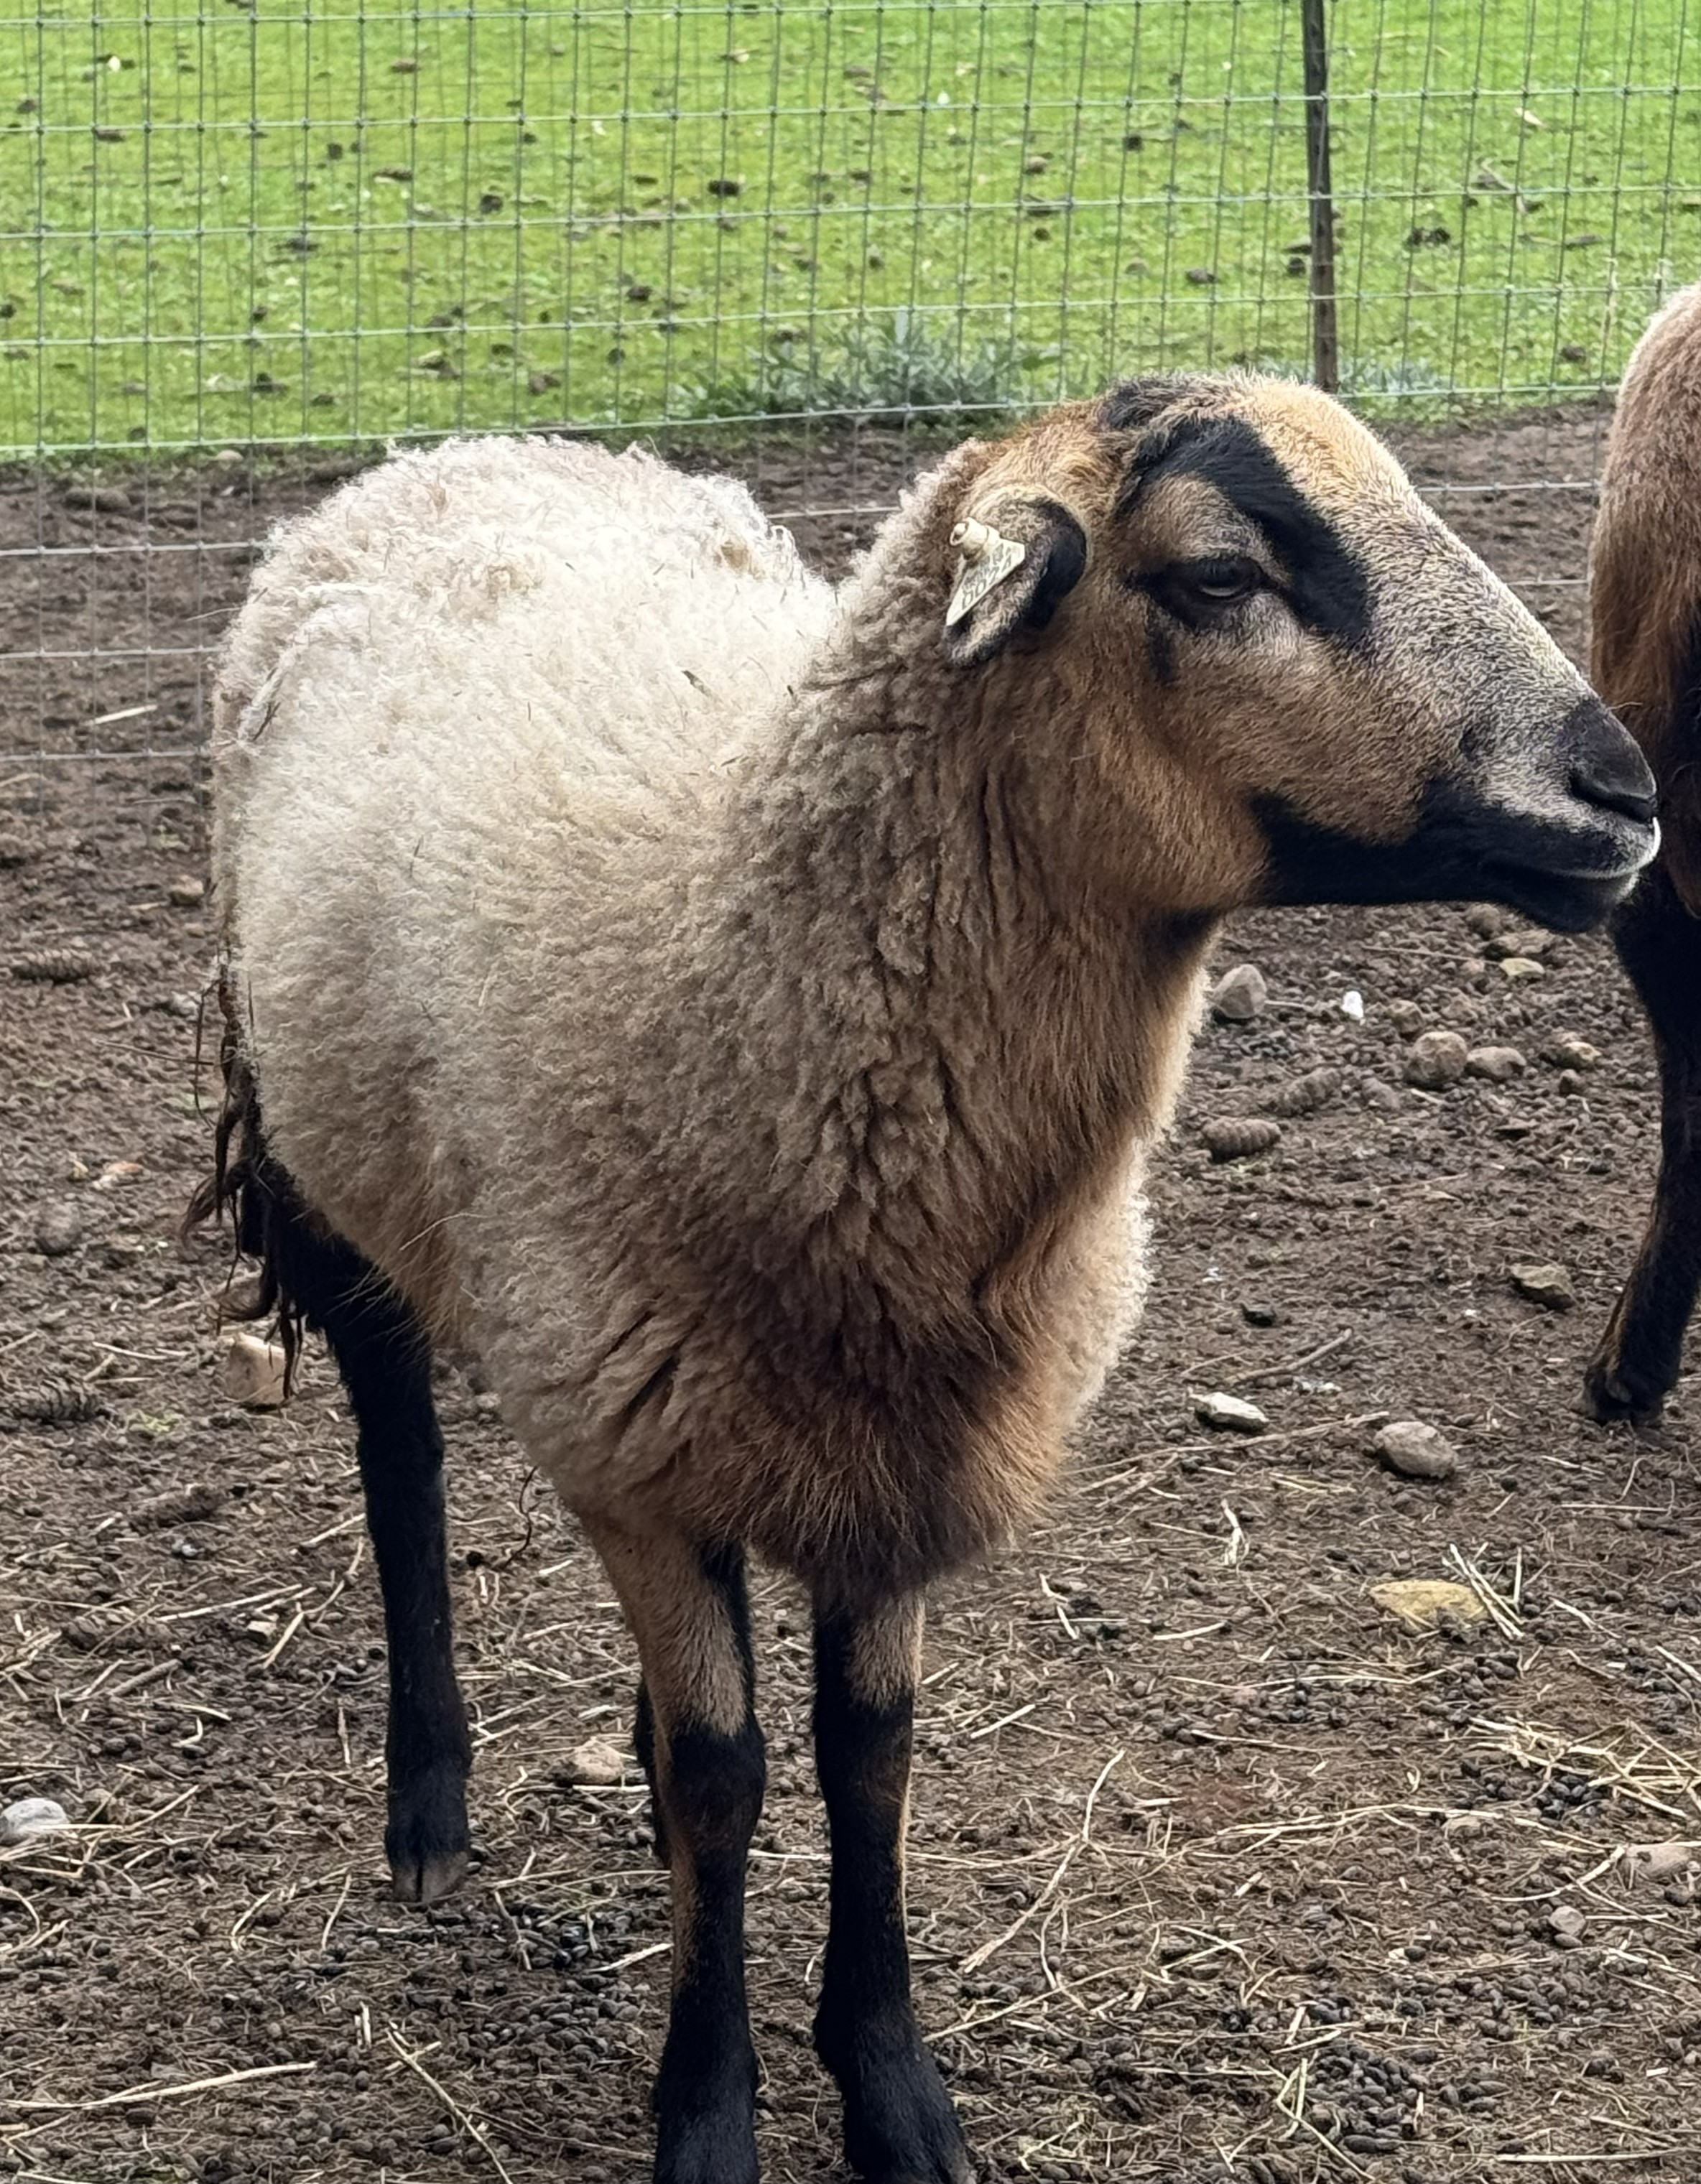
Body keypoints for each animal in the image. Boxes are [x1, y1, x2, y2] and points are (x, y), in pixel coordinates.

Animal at [194, 374, 1657, 2184]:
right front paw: (708, 2111)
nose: (1621, 792)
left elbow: (867, 1753)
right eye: (1218, 578)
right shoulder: (638, 1447)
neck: (728, 948)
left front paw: (890, 2086)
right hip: (324, 1157)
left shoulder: (904, 1443)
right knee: (399, 1445)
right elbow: (731, 1773)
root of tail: (468, 449)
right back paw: (427, 1797)